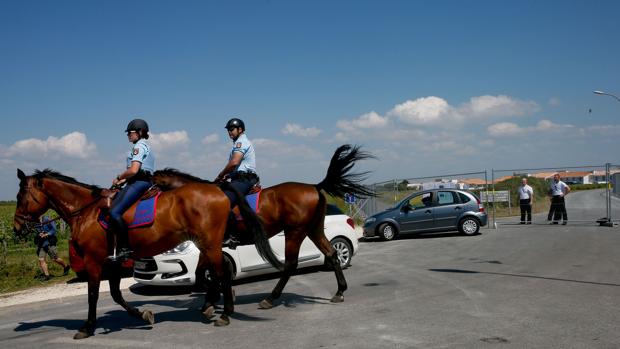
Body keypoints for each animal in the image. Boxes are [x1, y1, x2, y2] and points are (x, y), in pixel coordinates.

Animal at [12, 168, 280, 338]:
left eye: (20, 196)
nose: (16, 228)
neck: (85, 212)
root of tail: (221, 192)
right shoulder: (112, 262)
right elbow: (116, 295)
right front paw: (143, 315)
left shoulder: (94, 261)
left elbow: (93, 295)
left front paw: (87, 328)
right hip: (209, 245)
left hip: (211, 244)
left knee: (222, 273)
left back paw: (225, 312)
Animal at [153, 143, 376, 308]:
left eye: (152, 186)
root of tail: (314, 186)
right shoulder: (208, 246)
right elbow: (204, 271)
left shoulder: (210, 244)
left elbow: (210, 271)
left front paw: (216, 298)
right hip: (313, 230)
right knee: (331, 254)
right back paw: (339, 292)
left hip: (295, 231)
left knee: (290, 264)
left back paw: (270, 299)